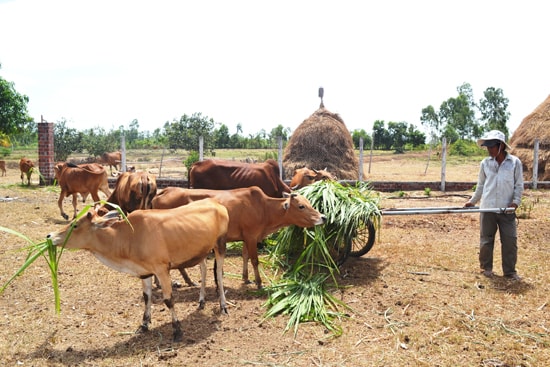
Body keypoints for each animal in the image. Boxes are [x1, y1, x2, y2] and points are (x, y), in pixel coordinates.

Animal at [45, 198, 231, 342]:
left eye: (75, 225)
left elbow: (169, 300)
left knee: (219, 275)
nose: (49, 236)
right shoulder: (144, 272)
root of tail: (216, 202)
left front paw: (177, 331)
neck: (130, 236)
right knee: (204, 269)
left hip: (220, 245)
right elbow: (146, 297)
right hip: (201, 251)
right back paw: (201, 301)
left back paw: (223, 306)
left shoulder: (162, 269)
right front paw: (144, 325)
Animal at [151, 187, 328, 288]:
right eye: (301, 206)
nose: (323, 217)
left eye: (309, 202)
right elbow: (254, 260)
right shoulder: (251, 237)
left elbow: (245, 256)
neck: (264, 208)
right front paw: (259, 283)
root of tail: (163, 191)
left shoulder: (246, 238)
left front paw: (246, 278)